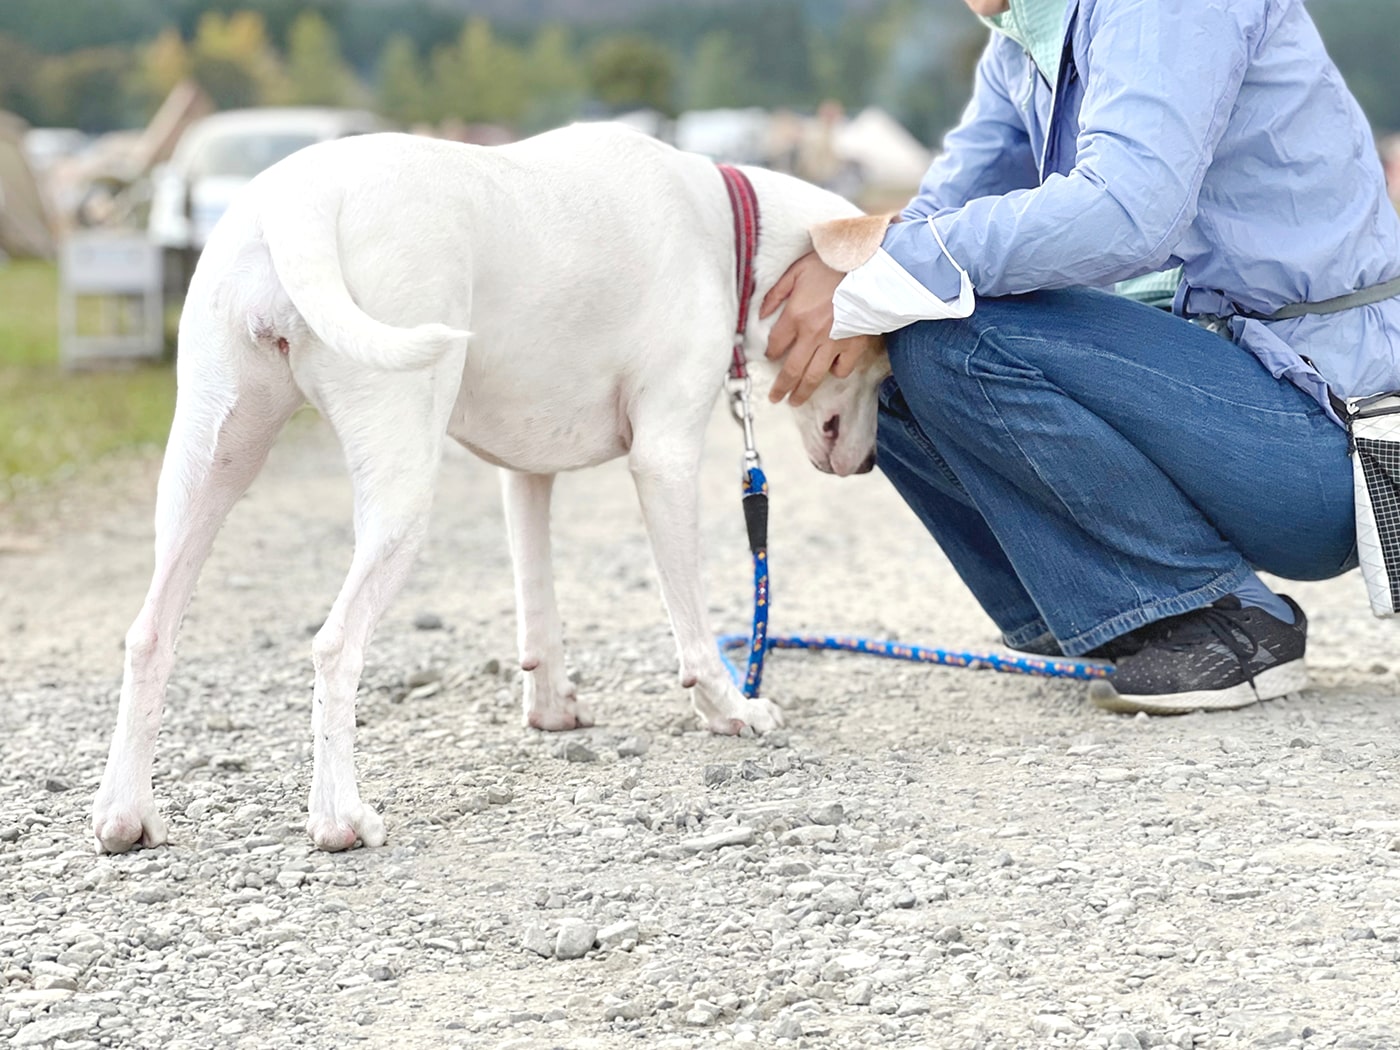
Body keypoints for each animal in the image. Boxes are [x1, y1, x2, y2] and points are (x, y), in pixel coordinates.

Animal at [93, 123, 890, 856]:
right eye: (875, 357)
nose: (865, 466)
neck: (727, 230)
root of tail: (298, 198)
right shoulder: (665, 462)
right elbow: (692, 625)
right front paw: (731, 709)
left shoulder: (526, 475)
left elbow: (539, 610)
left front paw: (551, 709)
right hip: (400, 486)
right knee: (335, 646)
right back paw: (338, 819)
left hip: (209, 466)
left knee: (149, 633)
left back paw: (126, 815)